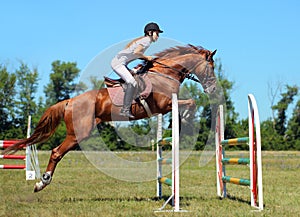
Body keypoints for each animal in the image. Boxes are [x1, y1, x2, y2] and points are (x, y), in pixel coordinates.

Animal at [3, 44, 217, 192]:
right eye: (212, 67)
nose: (213, 88)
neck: (165, 73)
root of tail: (70, 101)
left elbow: (189, 102)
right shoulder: (164, 105)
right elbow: (190, 102)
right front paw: (187, 118)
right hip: (78, 133)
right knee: (56, 152)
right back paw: (42, 183)